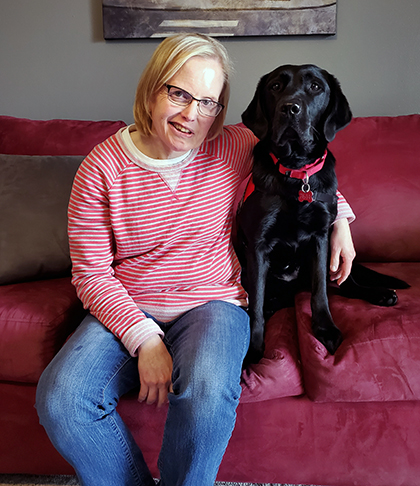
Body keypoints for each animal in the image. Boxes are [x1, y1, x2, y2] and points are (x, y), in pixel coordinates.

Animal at [235, 63, 408, 364]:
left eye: (315, 87)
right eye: (275, 87)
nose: (290, 108)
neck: (297, 171)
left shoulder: (321, 237)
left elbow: (320, 292)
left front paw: (325, 328)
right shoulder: (258, 245)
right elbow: (255, 302)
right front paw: (254, 348)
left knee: (346, 284)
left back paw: (379, 294)